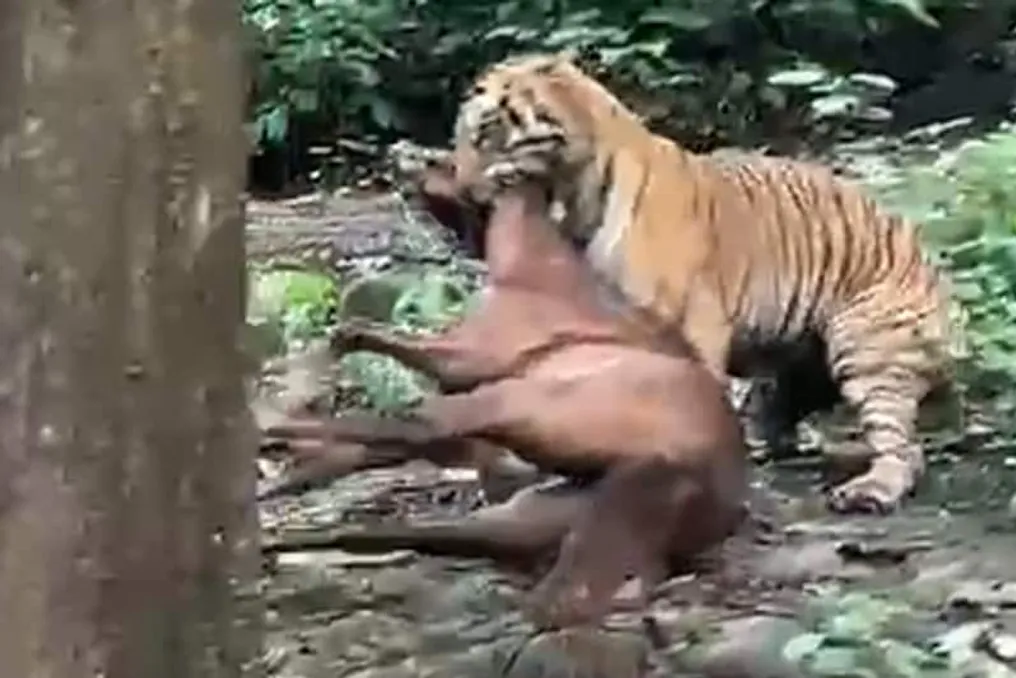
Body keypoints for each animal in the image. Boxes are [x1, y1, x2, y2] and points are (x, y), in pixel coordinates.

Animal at [436, 51, 961, 515]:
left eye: (485, 133)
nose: (461, 187)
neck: (568, 193)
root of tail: (936, 271)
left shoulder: (682, 324)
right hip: (797, 366)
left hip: (867, 348)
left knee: (904, 447)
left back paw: (870, 491)